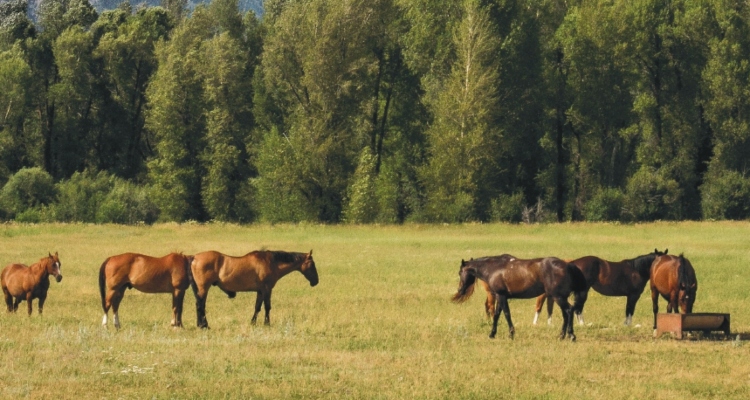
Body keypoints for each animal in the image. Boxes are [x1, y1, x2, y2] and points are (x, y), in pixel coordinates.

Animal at [191, 250, 320, 328]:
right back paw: (204, 325)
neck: (271, 262)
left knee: (199, 305)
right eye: (312, 264)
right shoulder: (267, 289)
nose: (316, 281)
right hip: (203, 288)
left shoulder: (260, 291)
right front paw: (267, 323)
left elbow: (257, 307)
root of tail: (194, 258)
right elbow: (267, 307)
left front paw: (253, 322)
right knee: (200, 306)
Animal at [452, 256, 588, 340]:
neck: (493, 269)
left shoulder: (501, 296)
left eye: (460, 272)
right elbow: (496, 315)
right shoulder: (501, 297)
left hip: (558, 297)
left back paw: (570, 335)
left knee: (569, 311)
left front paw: (511, 334)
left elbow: (506, 314)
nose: (460, 290)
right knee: (566, 314)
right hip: (559, 298)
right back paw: (562, 336)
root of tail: (568, 265)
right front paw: (492, 334)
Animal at [532, 248, 668, 326]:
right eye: (660, 260)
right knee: (578, 308)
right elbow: (630, 310)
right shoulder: (633, 295)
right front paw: (628, 325)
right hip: (583, 291)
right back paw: (582, 324)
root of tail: (572, 264)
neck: (636, 270)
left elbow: (628, 310)